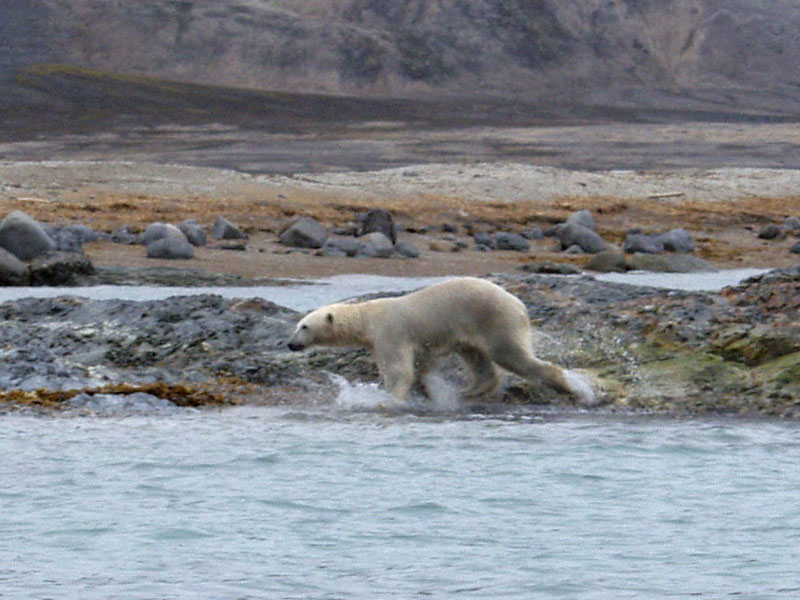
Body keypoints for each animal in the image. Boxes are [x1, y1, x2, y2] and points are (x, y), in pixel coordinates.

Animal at [288, 276, 592, 404]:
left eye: (304, 326)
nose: (290, 344)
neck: (368, 316)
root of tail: (519, 304)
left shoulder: (390, 332)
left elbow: (399, 370)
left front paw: (390, 397)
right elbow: (421, 365)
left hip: (494, 319)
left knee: (511, 356)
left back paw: (572, 387)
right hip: (472, 328)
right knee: (477, 359)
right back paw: (469, 391)